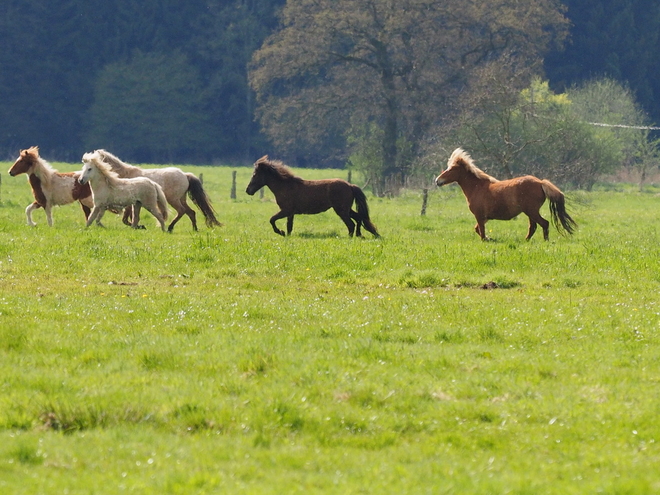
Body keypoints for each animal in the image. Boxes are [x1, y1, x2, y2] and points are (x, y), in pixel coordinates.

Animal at [93, 149, 222, 232]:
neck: (123, 176)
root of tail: (185, 175)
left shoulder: (129, 204)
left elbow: (126, 219)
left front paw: (140, 226)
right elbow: (129, 219)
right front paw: (139, 226)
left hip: (173, 199)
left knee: (182, 211)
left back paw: (170, 228)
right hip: (181, 199)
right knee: (191, 212)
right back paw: (194, 229)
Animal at [245, 156, 378, 239]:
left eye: (255, 174)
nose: (248, 190)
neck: (285, 186)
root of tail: (350, 185)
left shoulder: (286, 210)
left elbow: (272, 219)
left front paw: (280, 232)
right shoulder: (290, 213)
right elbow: (289, 227)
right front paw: (286, 235)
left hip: (341, 210)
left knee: (351, 224)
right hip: (346, 209)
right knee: (359, 218)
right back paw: (361, 235)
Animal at [436, 147, 576, 240]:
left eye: (451, 169)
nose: (437, 180)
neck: (477, 188)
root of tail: (540, 182)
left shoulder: (479, 216)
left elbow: (481, 232)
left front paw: (487, 239)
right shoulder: (485, 217)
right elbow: (477, 229)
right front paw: (491, 238)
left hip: (531, 211)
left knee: (544, 224)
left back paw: (544, 241)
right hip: (531, 212)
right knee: (533, 227)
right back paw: (526, 241)